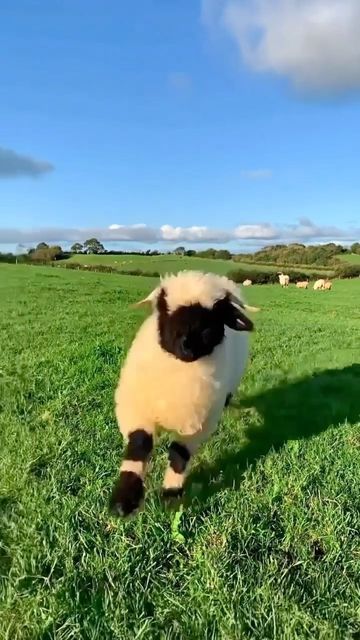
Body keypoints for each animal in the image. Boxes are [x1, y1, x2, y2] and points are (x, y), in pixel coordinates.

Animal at [108, 268, 258, 516]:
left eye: (212, 319)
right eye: (165, 311)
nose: (187, 345)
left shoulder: (197, 425)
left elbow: (179, 455)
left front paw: (171, 495)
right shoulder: (137, 409)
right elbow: (139, 445)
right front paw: (124, 501)